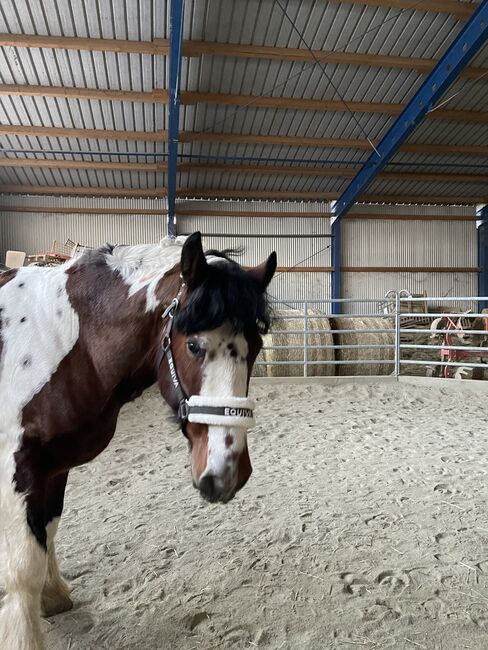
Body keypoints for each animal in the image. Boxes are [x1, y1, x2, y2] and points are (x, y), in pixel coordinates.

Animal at [0, 233, 274, 648]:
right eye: (193, 345)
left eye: (255, 346)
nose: (227, 472)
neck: (67, 341)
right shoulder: (18, 468)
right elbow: (22, 568)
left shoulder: (55, 465)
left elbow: (48, 530)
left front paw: (53, 597)